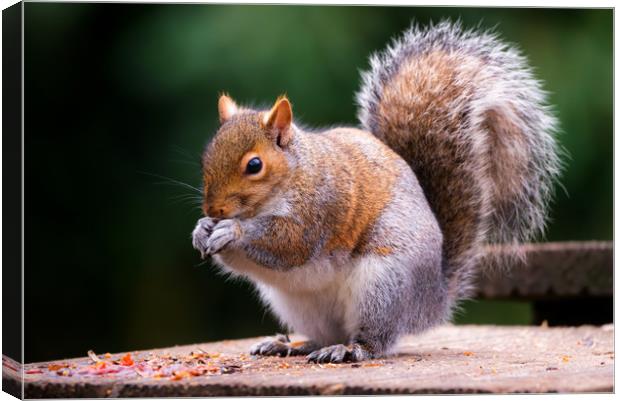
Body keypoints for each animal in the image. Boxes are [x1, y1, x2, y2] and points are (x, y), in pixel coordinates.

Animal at [190, 21, 560, 362]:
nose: (214, 210)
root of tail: (430, 300)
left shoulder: (321, 206)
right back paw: (290, 345)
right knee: (324, 334)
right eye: (206, 156)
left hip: (382, 284)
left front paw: (233, 230)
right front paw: (202, 230)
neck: (294, 175)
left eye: (254, 165)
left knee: (374, 340)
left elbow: (289, 243)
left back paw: (350, 349)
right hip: (299, 304)